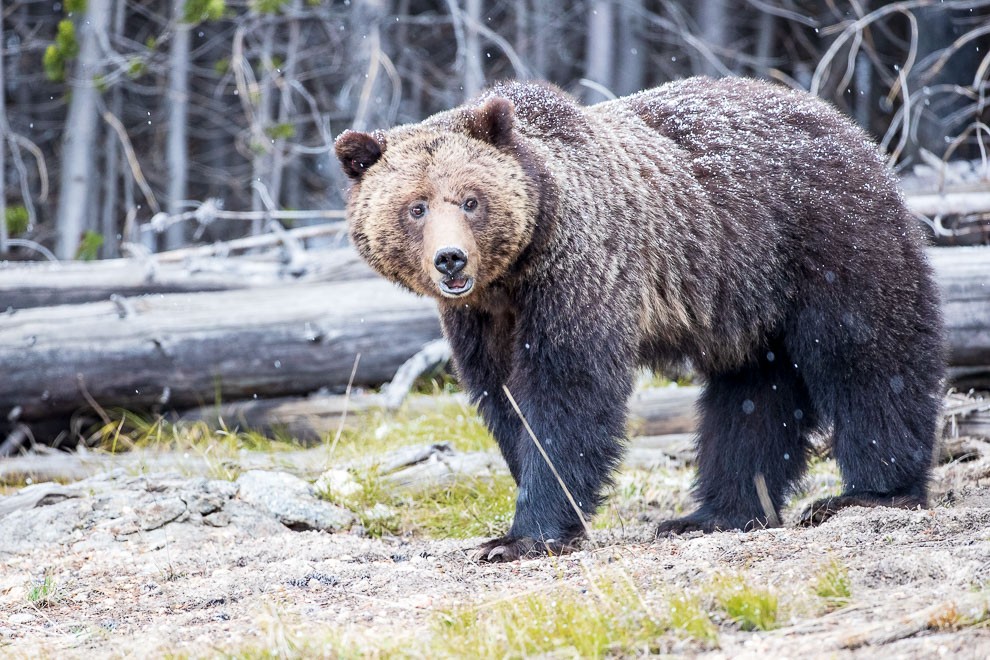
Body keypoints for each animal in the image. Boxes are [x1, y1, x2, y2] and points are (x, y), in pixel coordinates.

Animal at [340, 77, 944, 564]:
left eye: (470, 200)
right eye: (416, 206)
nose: (451, 260)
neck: (513, 274)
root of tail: (849, 128)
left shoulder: (581, 272)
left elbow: (568, 393)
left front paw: (522, 535)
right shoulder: (480, 319)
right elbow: (504, 400)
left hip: (827, 239)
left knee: (868, 355)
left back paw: (871, 492)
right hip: (747, 298)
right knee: (751, 398)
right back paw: (714, 514)